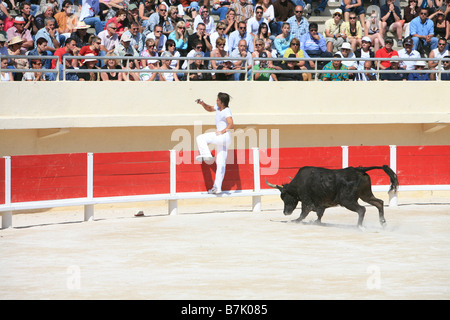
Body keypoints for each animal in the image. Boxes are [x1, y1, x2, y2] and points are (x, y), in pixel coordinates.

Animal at [266, 165, 400, 228]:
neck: (299, 183)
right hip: (365, 195)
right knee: (379, 203)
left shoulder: (307, 201)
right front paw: (317, 222)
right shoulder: (321, 204)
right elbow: (319, 214)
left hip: (347, 200)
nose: (285, 213)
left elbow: (304, 212)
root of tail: (359, 169)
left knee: (362, 209)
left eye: (284, 196)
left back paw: (359, 226)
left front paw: (294, 220)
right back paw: (383, 223)